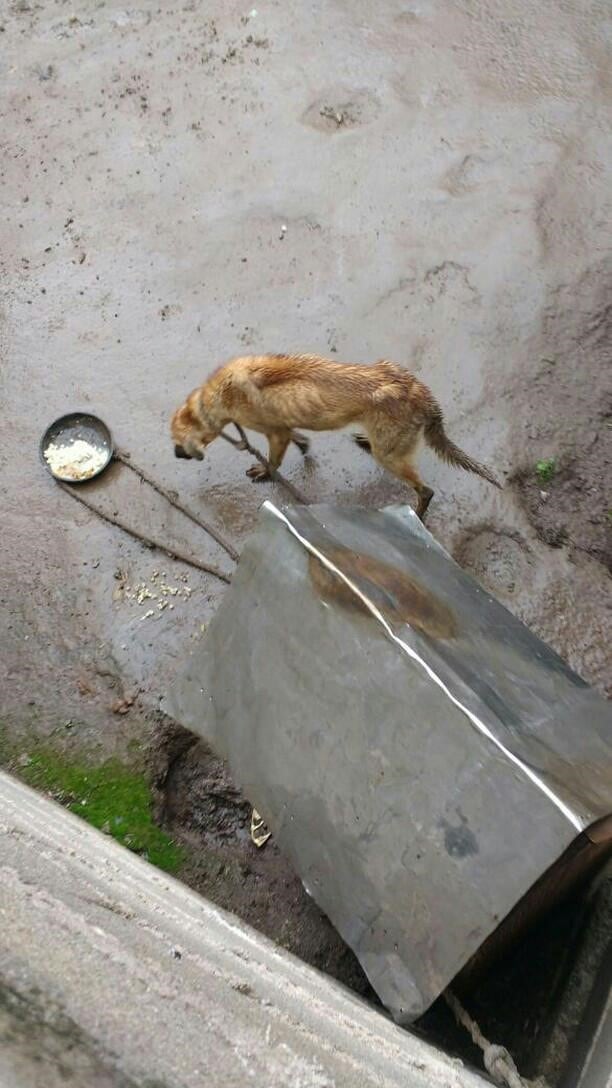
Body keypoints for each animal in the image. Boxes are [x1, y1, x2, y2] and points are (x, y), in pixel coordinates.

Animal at [168, 350, 498, 515]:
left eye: (176, 443)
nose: (174, 454)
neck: (215, 395)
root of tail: (422, 396)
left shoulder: (273, 433)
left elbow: (274, 461)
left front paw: (265, 471)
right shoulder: (283, 427)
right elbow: (298, 437)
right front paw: (303, 445)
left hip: (391, 457)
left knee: (425, 491)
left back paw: (416, 514)